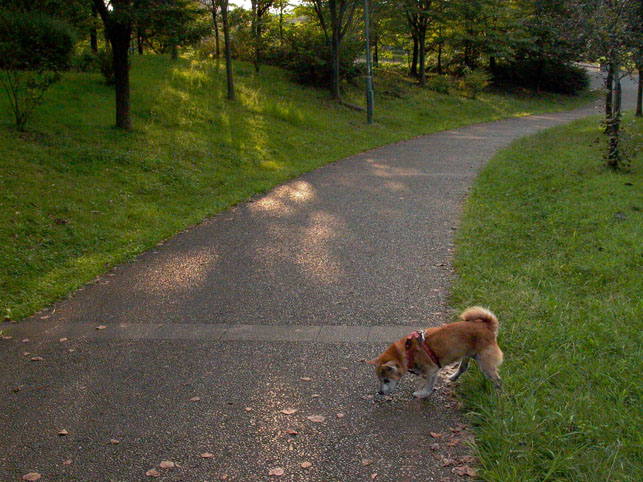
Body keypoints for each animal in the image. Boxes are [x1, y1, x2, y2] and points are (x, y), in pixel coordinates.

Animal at [368, 306, 504, 398]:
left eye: (386, 380)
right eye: (380, 380)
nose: (380, 392)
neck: (407, 351)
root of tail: (487, 326)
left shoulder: (432, 369)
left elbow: (429, 384)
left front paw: (423, 393)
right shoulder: (432, 370)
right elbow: (430, 381)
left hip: (485, 363)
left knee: (497, 379)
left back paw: (497, 394)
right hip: (468, 354)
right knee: (463, 368)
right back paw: (453, 377)